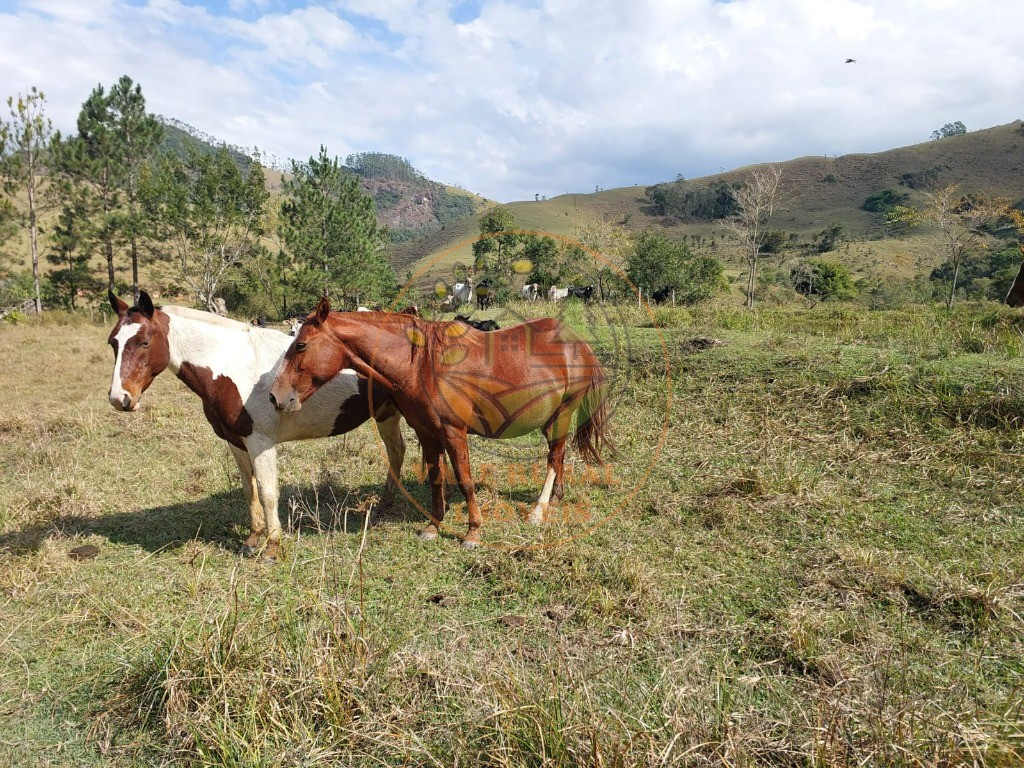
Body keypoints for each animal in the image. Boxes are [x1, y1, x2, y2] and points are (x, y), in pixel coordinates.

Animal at [105, 290, 405, 561]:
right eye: (113, 343)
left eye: (144, 342)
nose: (120, 398)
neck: (232, 366)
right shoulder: (236, 441)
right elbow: (249, 490)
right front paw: (252, 539)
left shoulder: (260, 442)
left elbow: (267, 492)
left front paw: (272, 547)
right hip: (386, 413)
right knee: (396, 451)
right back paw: (386, 503)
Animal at [268, 296, 610, 548]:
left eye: (301, 345)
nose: (276, 396)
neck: (422, 365)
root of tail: (576, 342)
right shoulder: (427, 433)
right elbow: (436, 480)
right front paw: (433, 526)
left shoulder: (453, 433)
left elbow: (465, 479)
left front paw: (473, 532)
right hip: (552, 418)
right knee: (559, 456)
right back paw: (555, 497)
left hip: (563, 413)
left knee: (553, 458)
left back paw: (538, 510)